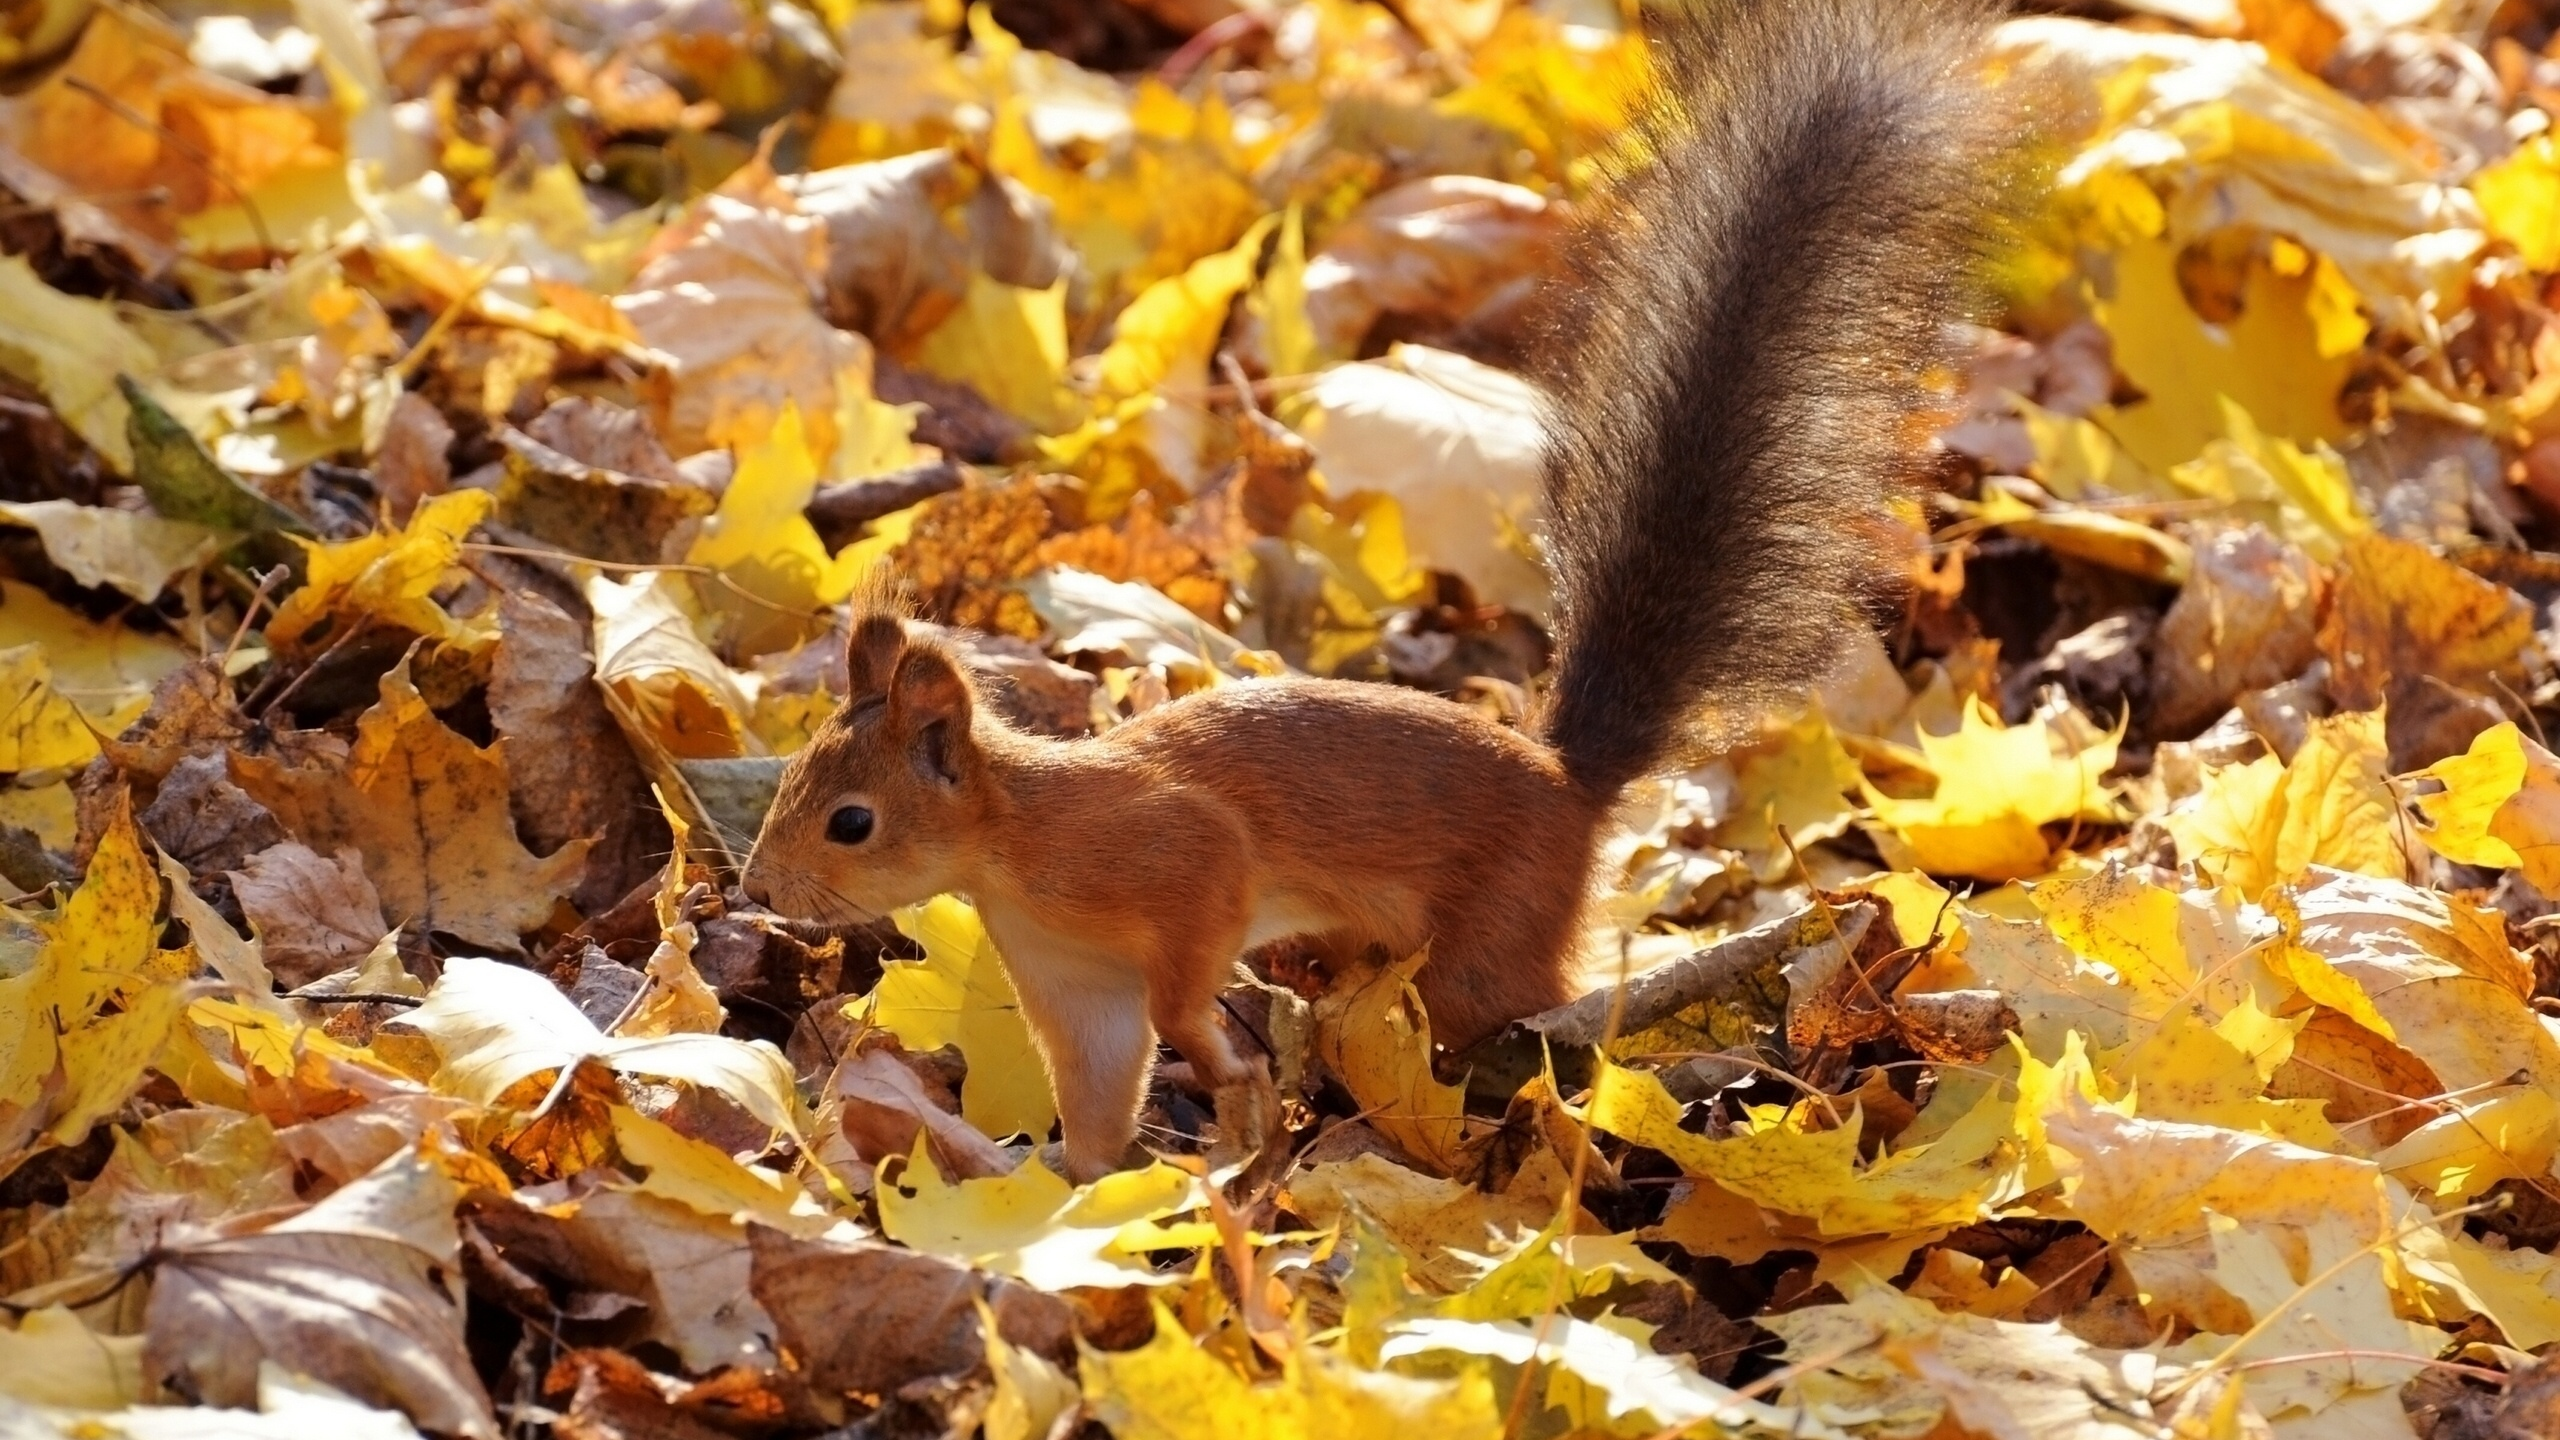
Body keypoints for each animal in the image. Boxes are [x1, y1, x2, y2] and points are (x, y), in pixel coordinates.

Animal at [742, 0, 2017, 1178]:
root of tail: (1568, 784)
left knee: (1518, 1019)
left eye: (853, 821)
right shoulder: (1072, 980)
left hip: (1487, 939)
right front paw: (1070, 1184)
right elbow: (1098, 1086)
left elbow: (1183, 977)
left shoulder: (1178, 858)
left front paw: (1219, 1069)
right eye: (796, 780)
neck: (1015, 844)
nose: (757, 888)